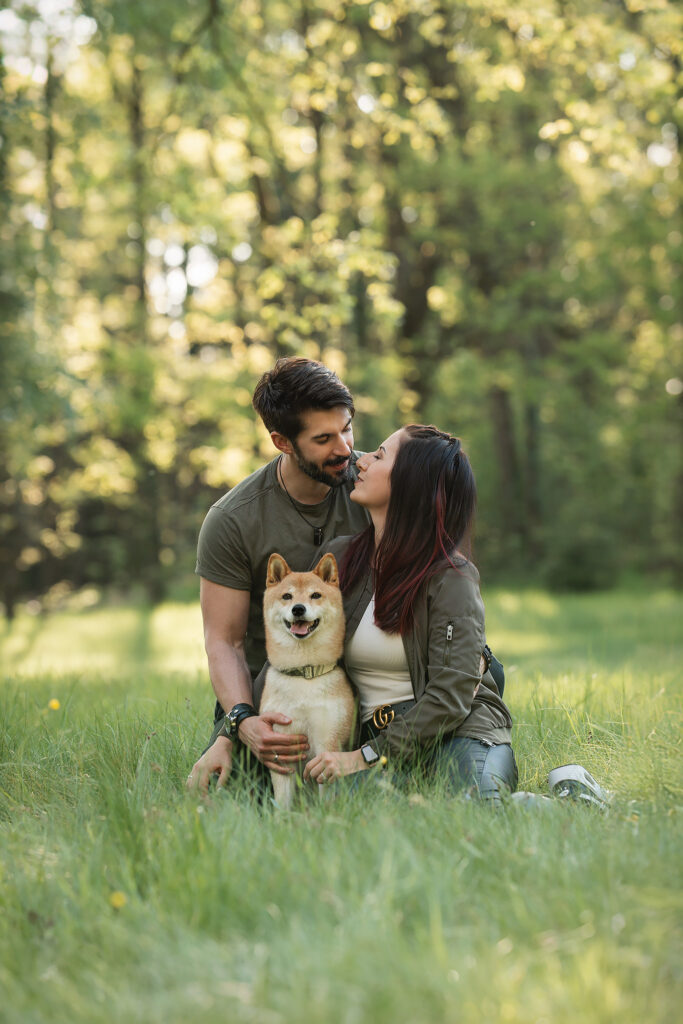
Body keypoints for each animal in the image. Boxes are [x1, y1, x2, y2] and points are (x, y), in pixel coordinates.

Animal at [260, 552, 356, 806]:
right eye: (287, 596)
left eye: (315, 595)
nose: (298, 609)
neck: (304, 672)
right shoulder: (282, 747)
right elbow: (283, 802)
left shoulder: (327, 744)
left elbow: (326, 796)